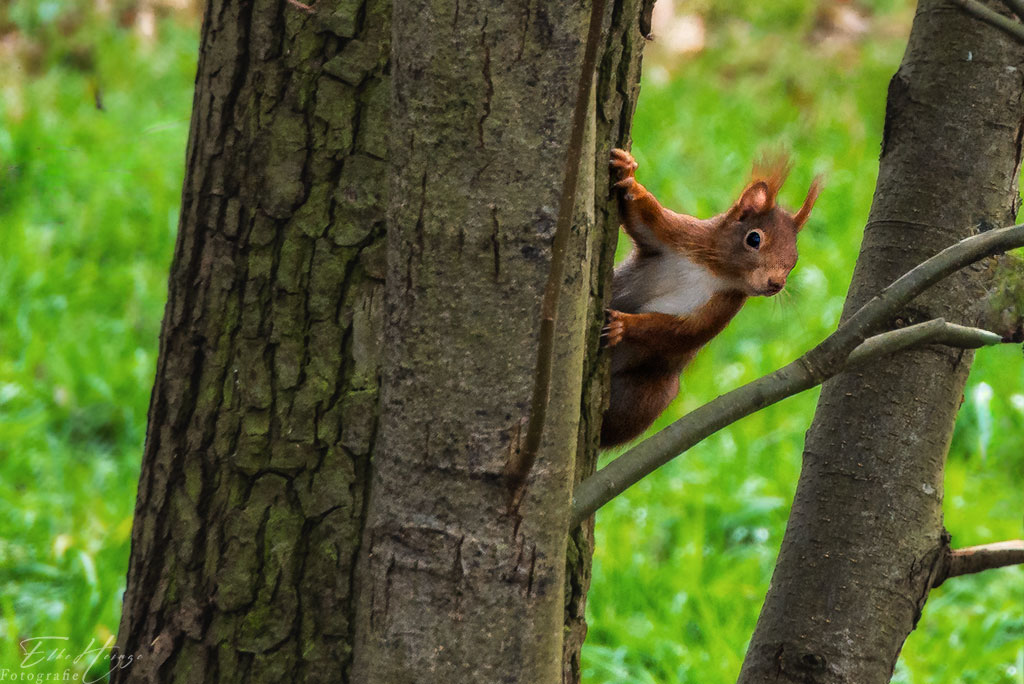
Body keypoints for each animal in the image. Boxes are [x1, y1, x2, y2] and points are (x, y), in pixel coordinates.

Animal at [600, 148, 821, 447]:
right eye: (754, 239)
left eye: (794, 260)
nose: (776, 284)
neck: (716, 270)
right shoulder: (682, 233)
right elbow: (643, 217)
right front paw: (628, 172)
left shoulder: (723, 306)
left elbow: (680, 332)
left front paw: (623, 325)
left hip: (652, 392)